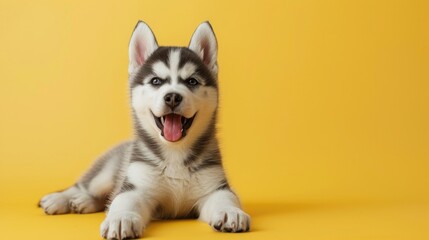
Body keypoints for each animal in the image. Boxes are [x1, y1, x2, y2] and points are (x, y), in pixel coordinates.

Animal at [39, 21, 251, 239]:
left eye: (192, 81)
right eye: (156, 81)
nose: (172, 97)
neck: (175, 154)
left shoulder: (215, 187)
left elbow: (226, 198)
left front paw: (230, 212)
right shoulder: (136, 186)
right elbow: (122, 200)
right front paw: (121, 218)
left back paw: (84, 202)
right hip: (105, 174)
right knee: (84, 186)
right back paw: (60, 199)